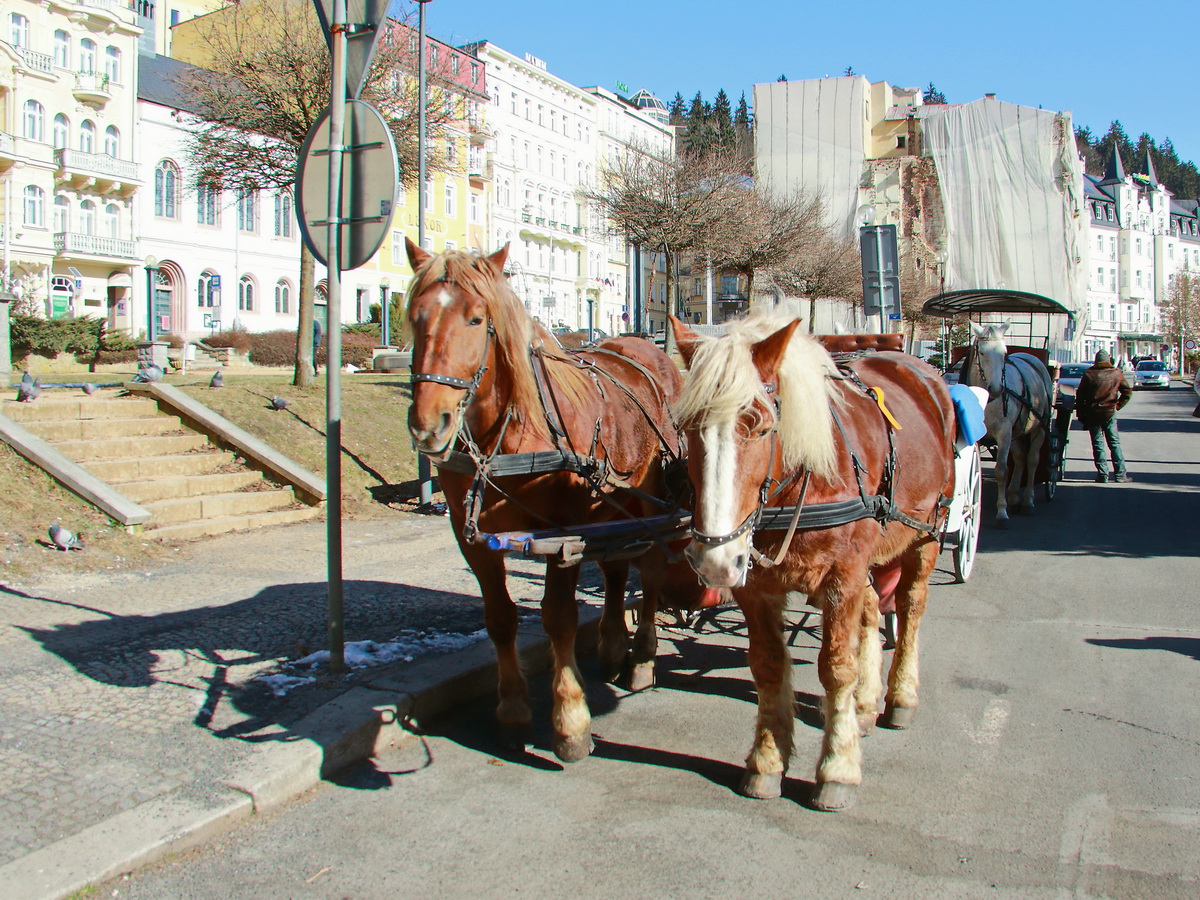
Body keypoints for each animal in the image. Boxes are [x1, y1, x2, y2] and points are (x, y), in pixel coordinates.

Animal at [408, 240, 700, 763]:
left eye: (476, 319)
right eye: (415, 317)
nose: (429, 424)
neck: (507, 437)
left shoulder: (563, 536)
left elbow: (558, 619)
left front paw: (570, 720)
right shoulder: (475, 541)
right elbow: (500, 619)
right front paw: (512, 709)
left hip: (653, 504)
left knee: (650, 570)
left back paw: (642, 656)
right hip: (612, 507)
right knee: (616, 569)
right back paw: (612, 644)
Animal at [672, 314, 950, 811]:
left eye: (760, 426)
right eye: (686, 426)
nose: (715, 560)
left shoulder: (843, 576)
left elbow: (836, 667)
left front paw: (838, 768)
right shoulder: (758, 587)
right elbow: (767, 665)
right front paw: (767, 760)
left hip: (926, 534)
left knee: (911, 606)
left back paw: (900, 696)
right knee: (872, 610)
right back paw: (865, 704)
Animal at [964, 321, 1051, 528]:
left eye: (1004, 352)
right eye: (982, 353)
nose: (996, 388)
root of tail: (1028, 355)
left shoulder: (1004, 432)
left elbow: (1001, 470)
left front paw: (1001, 513)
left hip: (1039, 428)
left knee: (1032, 460)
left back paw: (1027, 501)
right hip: (1017, 432)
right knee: (1020, 458)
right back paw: (1013, 496)